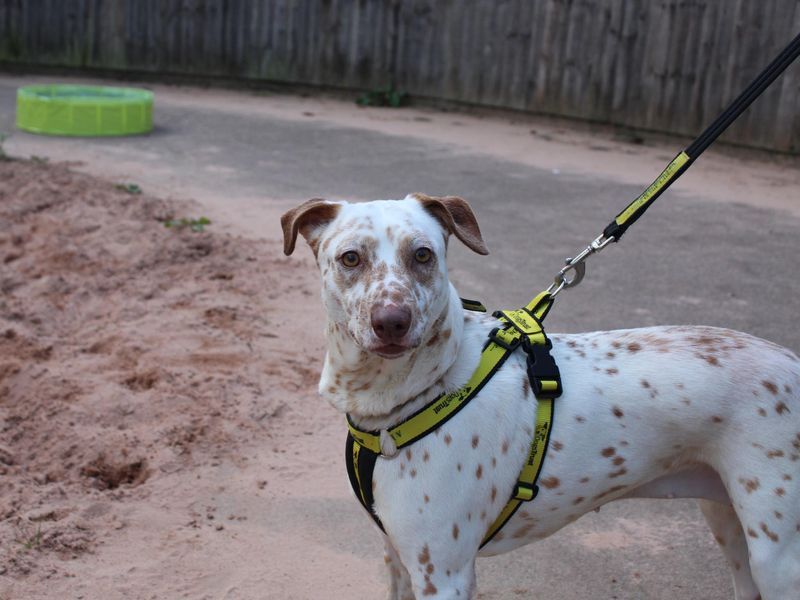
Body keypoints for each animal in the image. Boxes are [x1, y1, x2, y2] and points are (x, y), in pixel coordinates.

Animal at [282, 196, 800, 600]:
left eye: (423, 255)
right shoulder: (399, 555)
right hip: (728, 522)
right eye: (351, 258)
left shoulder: (444, 573)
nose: (392, 321)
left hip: (776, 555)